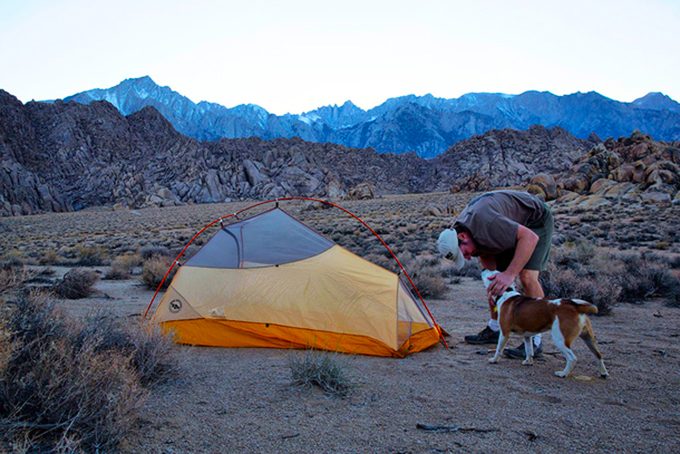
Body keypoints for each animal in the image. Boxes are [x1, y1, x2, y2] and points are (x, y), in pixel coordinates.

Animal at [480, 272, 608, 378]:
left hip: (560, 339)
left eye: (491, 274)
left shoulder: (504, 332)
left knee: (572, 358)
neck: (506, 293)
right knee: (598, 355)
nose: (483, 270)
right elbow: (529, 350)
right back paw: (603, 373)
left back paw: (563, 373)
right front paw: (528, 362)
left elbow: (498, 349)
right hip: (588, 338)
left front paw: (494, 360)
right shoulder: (527, 336)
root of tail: (574, 306)